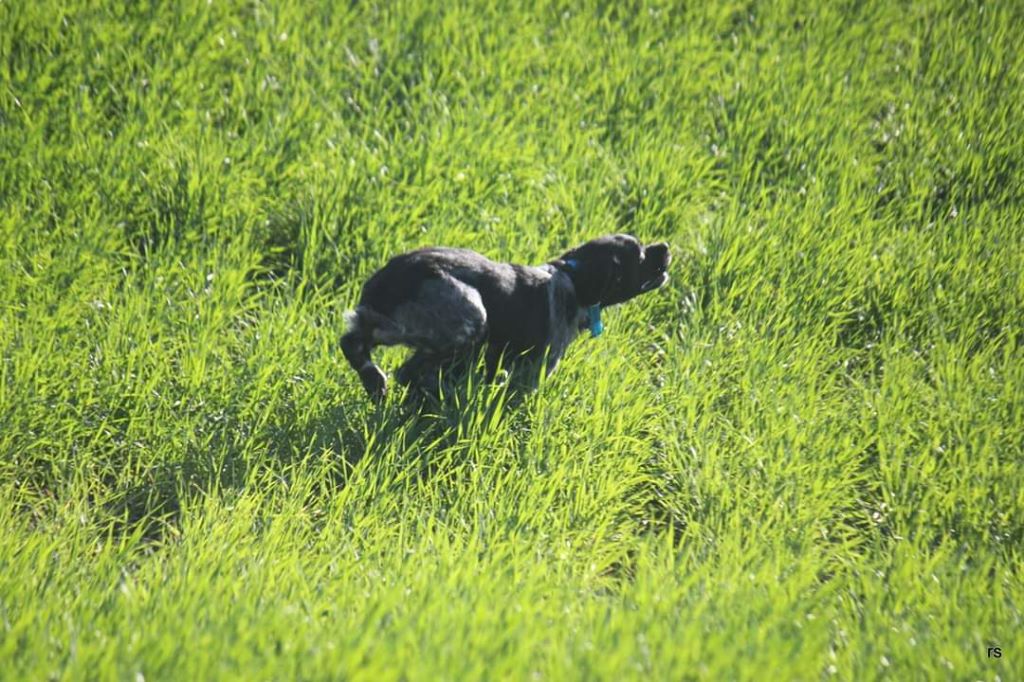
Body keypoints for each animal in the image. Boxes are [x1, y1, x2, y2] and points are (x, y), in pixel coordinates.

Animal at [339, 233, 667, 399]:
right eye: (640, 256)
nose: (665, 247)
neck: (573, 278)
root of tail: (393, 279)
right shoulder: (535, 371)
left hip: (386, 323)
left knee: (353, 341)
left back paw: (375, 380)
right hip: (471, 315)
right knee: (409, 371)